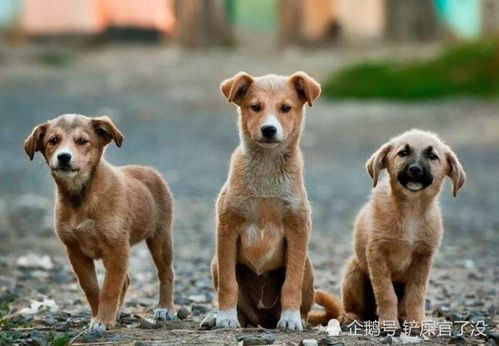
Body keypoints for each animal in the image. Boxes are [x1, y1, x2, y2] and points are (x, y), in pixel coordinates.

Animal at [23, 115, 176, 332]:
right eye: (53, 140)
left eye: (82, 141)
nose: (64, 157)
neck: (81, 197)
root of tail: (149, 170)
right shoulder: (76, 251)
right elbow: (92, 288)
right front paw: (99, 316)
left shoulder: (117, 247)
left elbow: (110, 288)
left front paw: (103, 319)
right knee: (126, 280)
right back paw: (117, 312)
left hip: (160, 237)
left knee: (166, 272)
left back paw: (165, 308)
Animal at [209, 70, 322, 330]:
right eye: (255, 107)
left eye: (286, 108)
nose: (269, 129)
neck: (267, 168)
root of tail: (262, 319)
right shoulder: (227, 227)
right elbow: (228, 284)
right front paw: (226, 317)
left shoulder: (298, 228)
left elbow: (290, 284)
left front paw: (290, 318)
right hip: (215, 263)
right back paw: (217, 318)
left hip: (308, 267)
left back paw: (297, 318)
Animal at [310, 129, 466, 328]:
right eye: (403, 153)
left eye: (433, 156)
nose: (415, 169)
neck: (411, 211)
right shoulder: (377, 253)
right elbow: (386, 293)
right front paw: (388, 324)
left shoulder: (423, 257)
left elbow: (416, 295)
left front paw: (417, 323)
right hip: (354, 271)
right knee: (356, 309)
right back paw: (352, 318)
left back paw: (403, 318)